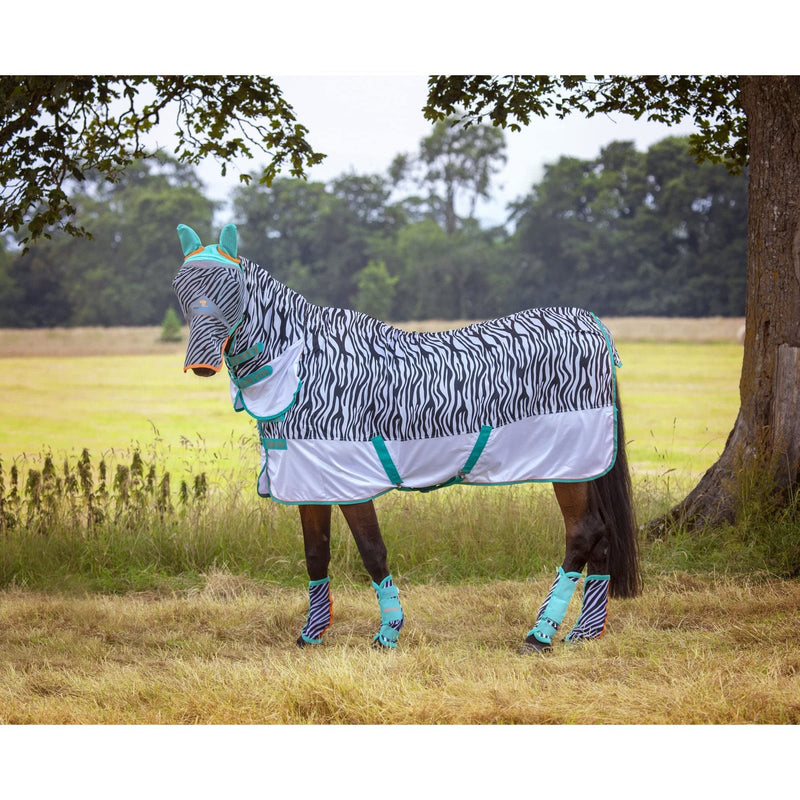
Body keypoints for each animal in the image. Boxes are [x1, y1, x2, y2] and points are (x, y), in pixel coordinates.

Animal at [172, 224, 641, 651]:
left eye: (231, 287)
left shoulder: (352, 481)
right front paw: (311, 635)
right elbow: (315, 553)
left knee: (582, 533)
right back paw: (583, 633)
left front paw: (388, 634)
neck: (306, 368)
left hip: (568, 466)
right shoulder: (310, 479)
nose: (200, 364)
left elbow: (372, 551)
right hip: (584, 468)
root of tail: (592, 324)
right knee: (602, 536)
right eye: (179, 285)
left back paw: (539, 635)